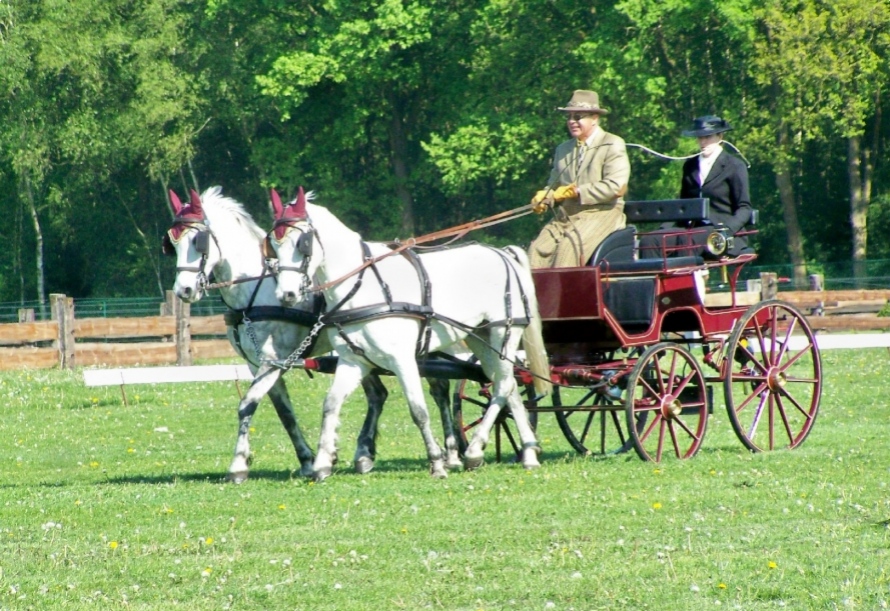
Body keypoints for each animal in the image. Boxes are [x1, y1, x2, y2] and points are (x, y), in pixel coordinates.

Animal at [162, 186, 457, 481]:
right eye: (172, 244)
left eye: (198, 241)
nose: (184, 290)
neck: (257, 289)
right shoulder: (258, 363)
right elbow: (285, 413)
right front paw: (308, 460)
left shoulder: (273, 361)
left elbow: (247, 403)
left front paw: (238, 464)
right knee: (378, 395)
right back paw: (364, 454)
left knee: (440, 390)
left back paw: (453, 453)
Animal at [267, 189, 552, 481]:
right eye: (273, 245)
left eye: (302, 243)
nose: (287, 294)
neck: (363, 286)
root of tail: (502, 253)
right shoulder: (353, 361)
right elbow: (331, 404)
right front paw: (323, 463)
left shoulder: (402, 360)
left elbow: (419, 411)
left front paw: (437, 463)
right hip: (480, 337)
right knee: (508, 386)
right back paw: (528, 452)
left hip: (503, 331)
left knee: (503, 385)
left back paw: (475, 451)